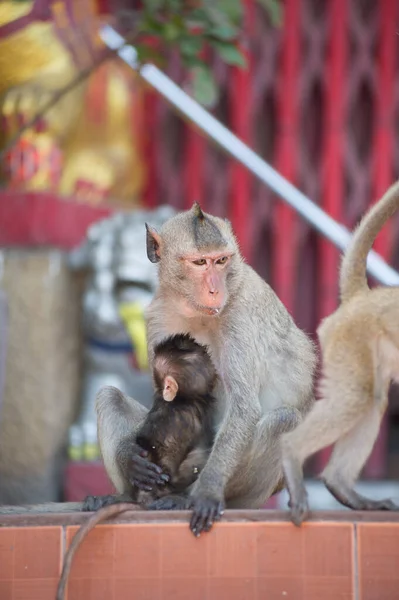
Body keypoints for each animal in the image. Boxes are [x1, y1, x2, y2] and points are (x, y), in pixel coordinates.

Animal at [95, 202, 318, 536]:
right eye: (200, 262)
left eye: (221, 260)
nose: (215, 290)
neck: (195, 311)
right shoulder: (158, 315)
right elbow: (160, 397)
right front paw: (129, 455)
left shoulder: (240, 316)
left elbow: (244, 407)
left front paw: (207, 491)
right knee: (109, 395)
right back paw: (124, 496)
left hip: (256, 492)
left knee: (282, 420)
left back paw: (186, 497)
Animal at [280, 178, 399, 524]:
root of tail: (364, 298)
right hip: (350, 337)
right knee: (360, 395)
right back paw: (292, 452)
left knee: (372, 398)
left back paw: (342, 486)